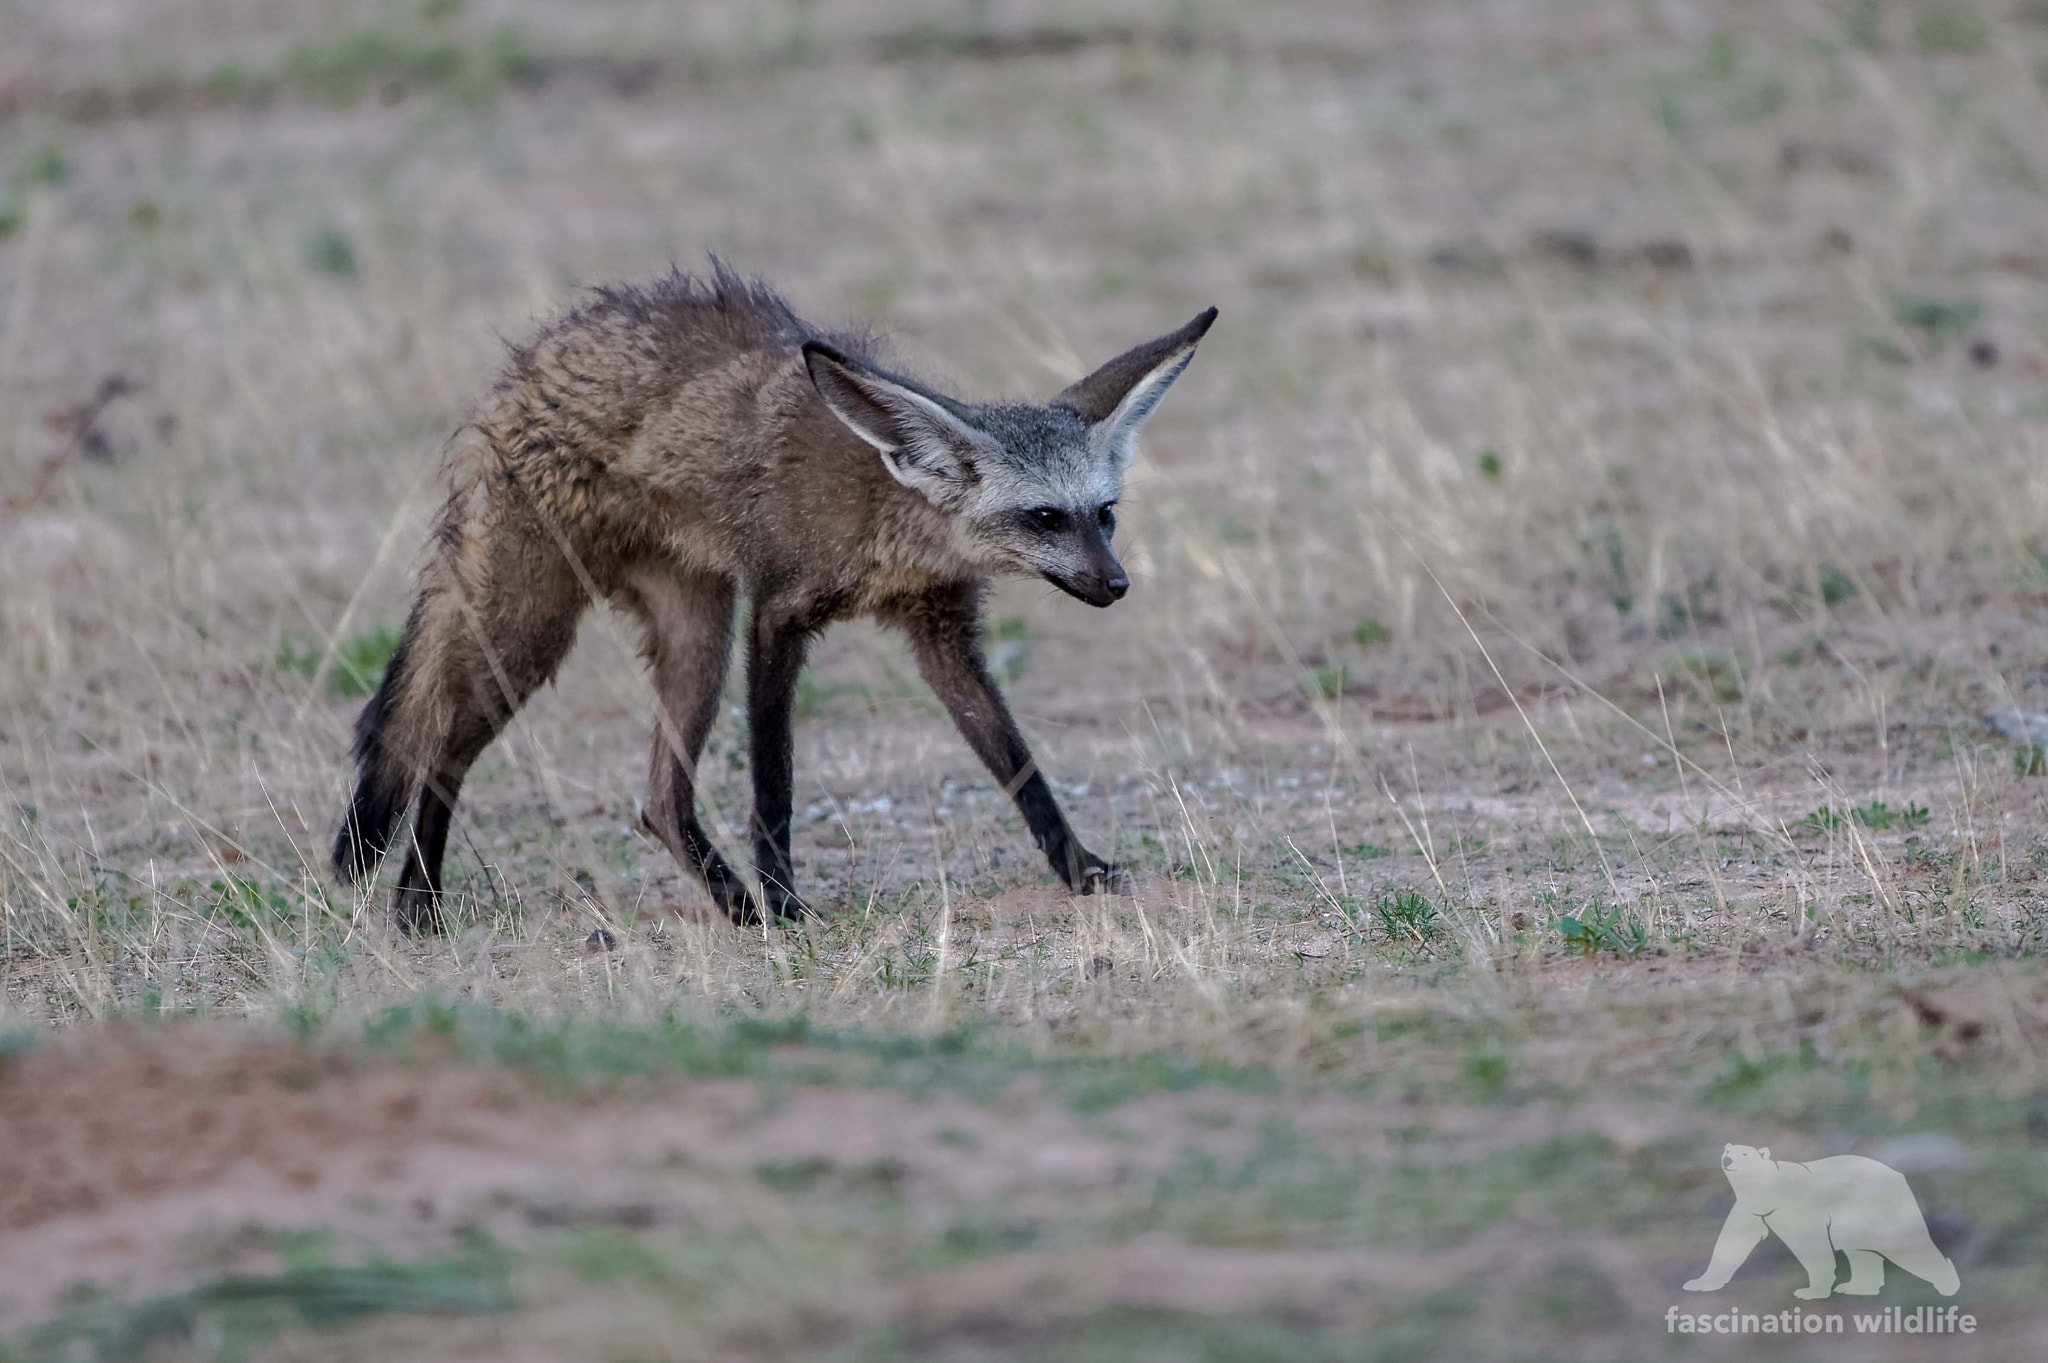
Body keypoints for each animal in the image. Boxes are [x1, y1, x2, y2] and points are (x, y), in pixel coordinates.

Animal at [327, 259, 1204, 929]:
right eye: (1045, 516)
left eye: (1104, 514)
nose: (1116, 585)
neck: (888, 516)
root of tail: (521, 368)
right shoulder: (778, 616)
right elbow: (773, 785)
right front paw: (787, 900)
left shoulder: (942, 632)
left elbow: (1021, 770)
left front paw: (1079, 867)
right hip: (533, 629)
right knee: (440, 750)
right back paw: (418, 905)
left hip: (696, 635)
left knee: (660, 801)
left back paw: (731, 904)